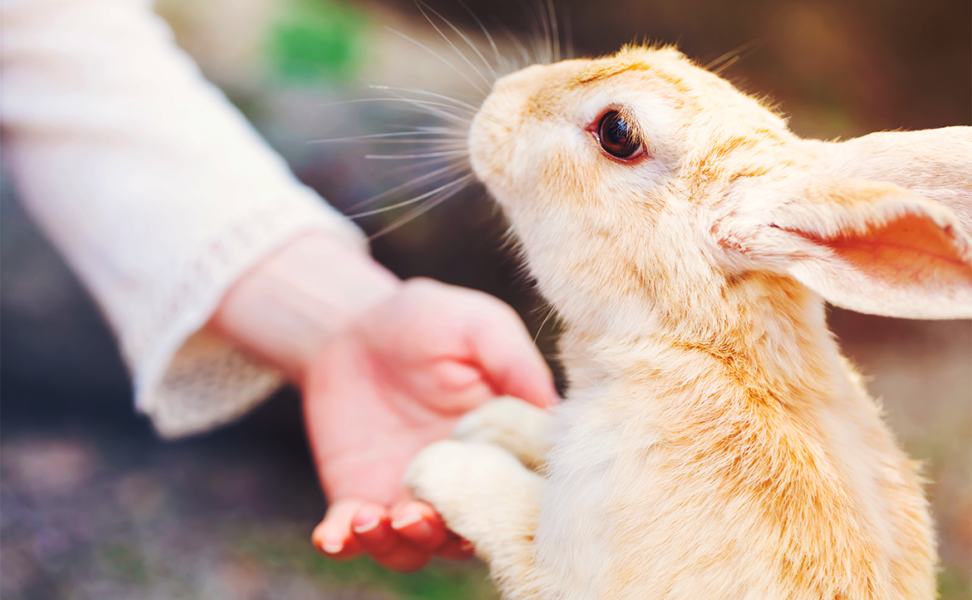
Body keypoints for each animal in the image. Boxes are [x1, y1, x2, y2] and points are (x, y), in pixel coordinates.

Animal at [403, 45, 972, 600]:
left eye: (617, 131)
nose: (504, 94)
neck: (707, 351)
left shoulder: (562, 569)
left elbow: (510, 519)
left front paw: (444, 462)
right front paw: (493, 423)